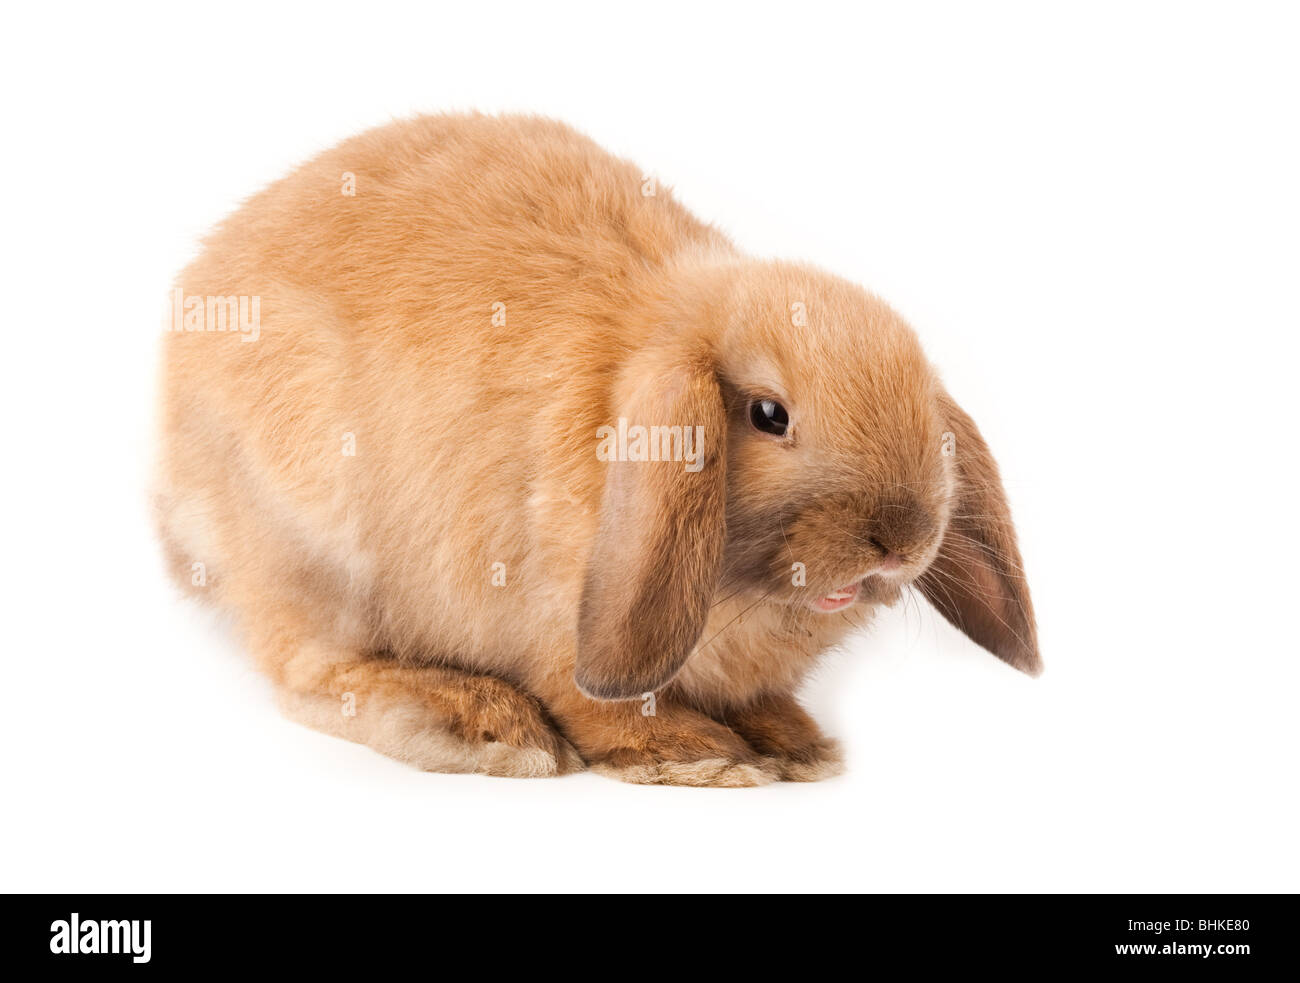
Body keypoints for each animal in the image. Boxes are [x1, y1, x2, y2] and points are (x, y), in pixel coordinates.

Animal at [156, 113, 1039, 787]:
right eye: (768, 413)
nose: (902, 538)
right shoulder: (555, 618)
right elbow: (594, 701)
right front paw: (699, 756)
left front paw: (795, 744)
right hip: (311, 543)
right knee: (307, 669)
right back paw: (479, 722)